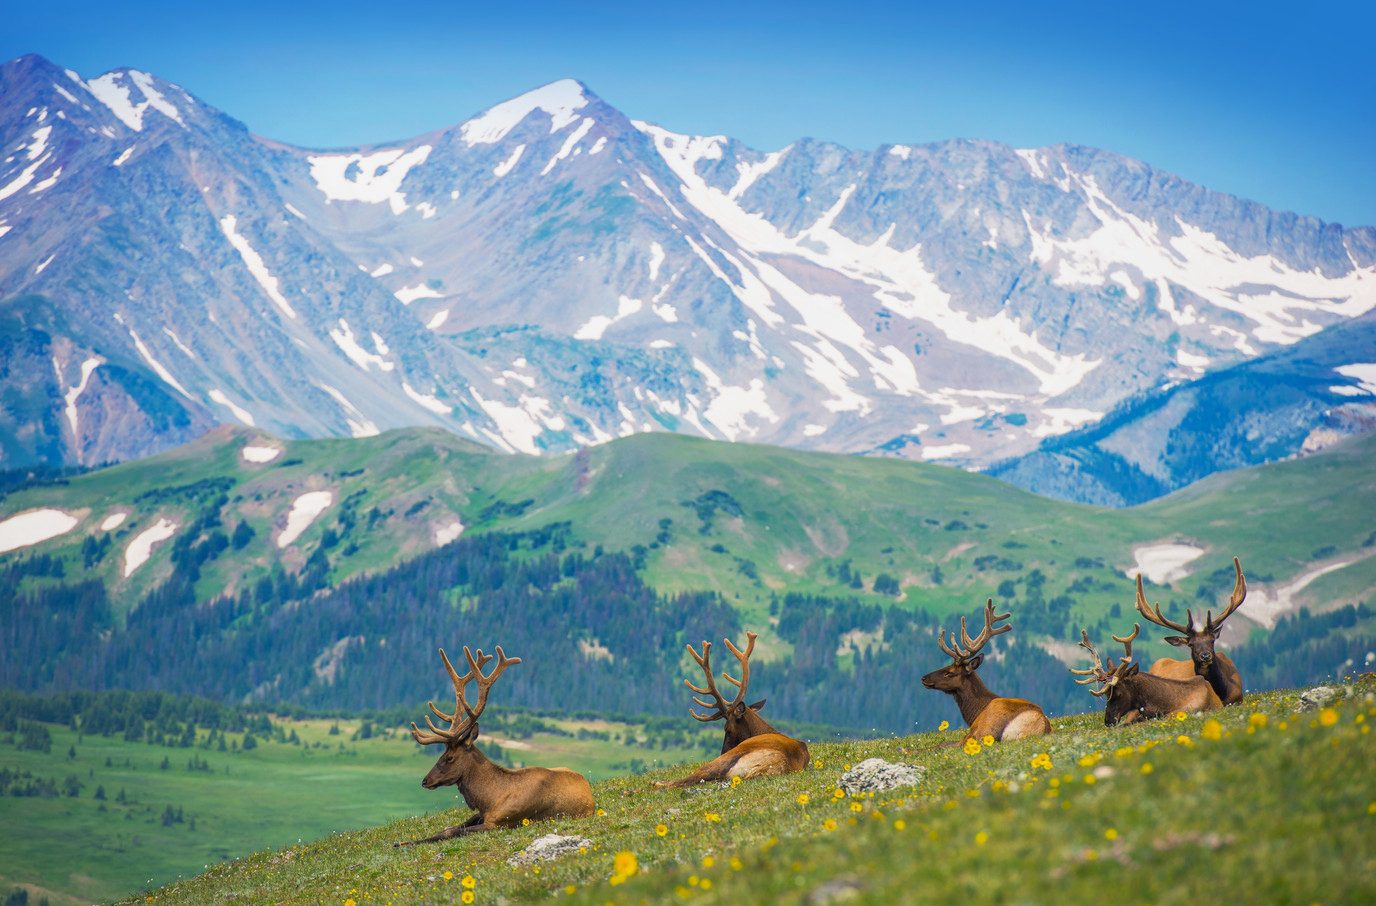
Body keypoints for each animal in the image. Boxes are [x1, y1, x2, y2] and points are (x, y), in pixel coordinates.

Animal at [396, 641, 594, 837]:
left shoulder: (499, 822)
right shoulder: (481, 814)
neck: (490, 799)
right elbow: (448, 828)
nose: (425, 781)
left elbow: (449, 832)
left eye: (449, 757)